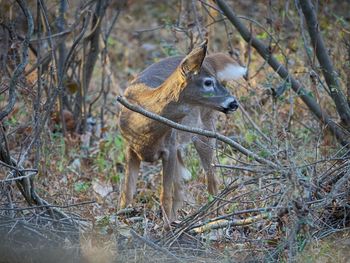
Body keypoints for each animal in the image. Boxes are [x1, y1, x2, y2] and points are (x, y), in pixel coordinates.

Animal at [119, 40, 247, 225]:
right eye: (208, 82)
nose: (233, 103)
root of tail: (210, 59)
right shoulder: (130, 148)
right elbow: (127, 193)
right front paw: (120, 219)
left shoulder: (169, 149)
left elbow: (165, 196)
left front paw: (165, 229)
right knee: (181, 187)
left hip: (204, 132)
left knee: (211, 181)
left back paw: (213, 218)